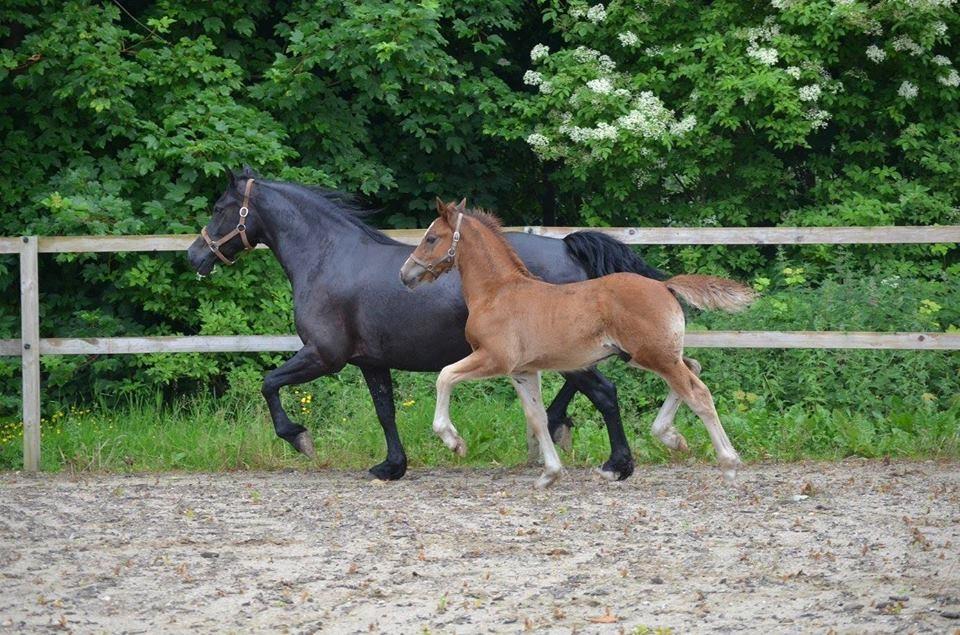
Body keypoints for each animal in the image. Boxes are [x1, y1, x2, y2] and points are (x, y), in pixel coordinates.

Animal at [188, 169, 668, 482]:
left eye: (220, 207)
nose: (196, 255)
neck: (327, 258)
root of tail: (568, 248)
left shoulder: (324, 356)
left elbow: (269, 383)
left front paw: (299, 438)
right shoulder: (370, 361)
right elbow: (385, 411)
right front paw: (391, 467)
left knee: (603, 392)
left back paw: (615, 462)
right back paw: (558, 428)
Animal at [400, 201, 756, 490]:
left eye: (431, 238)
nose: (406, 274)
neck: (497, 292)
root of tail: (664, 286)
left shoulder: (494, 359)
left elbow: (445, 376)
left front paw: (453, 441)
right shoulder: (523, 372)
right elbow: (536, 417)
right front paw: (550, 474)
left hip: (654, 356)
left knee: (698, 393)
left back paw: (729, 465)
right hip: (648, 355)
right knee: (693, 370)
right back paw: (669, 436)